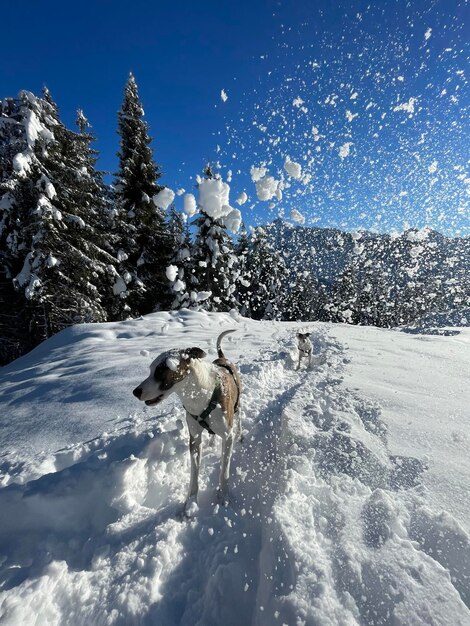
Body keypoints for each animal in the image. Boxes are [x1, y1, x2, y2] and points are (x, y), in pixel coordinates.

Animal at [133, 330, 241, 510]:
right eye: (151, 370)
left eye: (160, 370)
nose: (135, 392)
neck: (199, 395)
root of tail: (223, 358)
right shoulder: (195, 439)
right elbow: (194, 474)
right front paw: (191, 503)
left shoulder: (227, 436)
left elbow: (224, 470)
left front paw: (223, 496)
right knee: (212, 433)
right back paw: (212, 442)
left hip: (237, 407)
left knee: (238, 421)